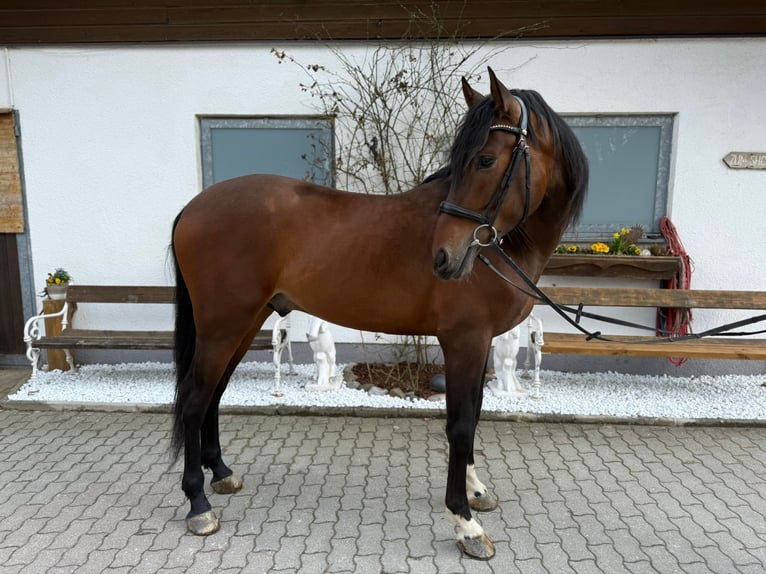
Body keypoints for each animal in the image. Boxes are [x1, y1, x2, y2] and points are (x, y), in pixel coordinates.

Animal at [169, 68, 588, 560]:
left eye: (484, 160)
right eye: (468, 160)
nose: (444, 257)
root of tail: (193, 207)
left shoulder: (480, 343)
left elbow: (475, 414)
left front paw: (476, 490)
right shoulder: (464, 341)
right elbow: (460, 423)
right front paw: (465, 522)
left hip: (243, 323)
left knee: (213, 395)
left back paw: (221, 473)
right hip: (223, 325)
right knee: (194, 399)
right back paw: (198, 504)